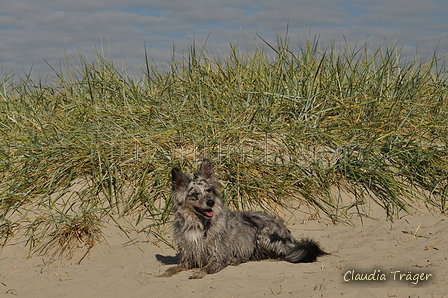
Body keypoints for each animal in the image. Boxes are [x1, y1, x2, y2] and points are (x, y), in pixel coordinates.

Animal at [158, 159, 326, 278]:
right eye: (195, 194)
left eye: (209, 190)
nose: (211, 202)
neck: (199, 226)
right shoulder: (188, 258)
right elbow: (174, 267)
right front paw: (165, 272)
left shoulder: (218, 256)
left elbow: (208, 267)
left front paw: (200, 272)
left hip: (264, 235)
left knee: (283, 254)